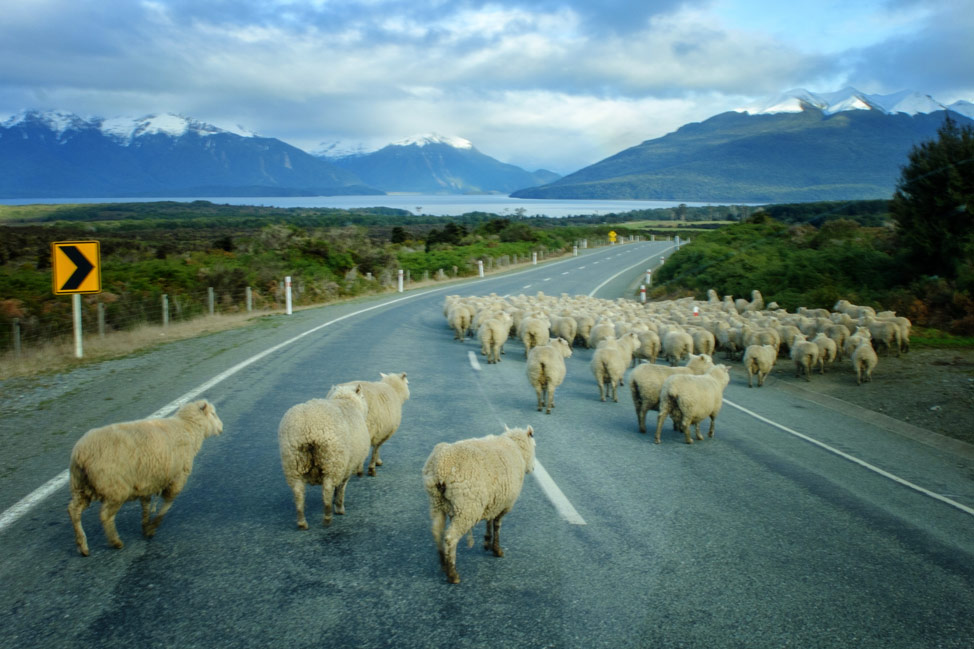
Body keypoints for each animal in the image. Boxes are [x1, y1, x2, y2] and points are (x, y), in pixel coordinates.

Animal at [67, 398, 224, 556]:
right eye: (213, 413)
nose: (222, 427)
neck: (188, 428)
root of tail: (80, 454)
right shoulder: (177, 478)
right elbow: (167, 504)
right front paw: (152, 527)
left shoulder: (147, 481)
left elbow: (146, 505)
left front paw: (145, 525)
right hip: (115, 488)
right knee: (105, 516)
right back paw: (115, 542)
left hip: (81, 486)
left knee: (74, 510)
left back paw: (82, 545)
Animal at [282, 384, 374, 528]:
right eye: (363, 396)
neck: (346, 401)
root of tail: (308, 428)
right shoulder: (346, 466)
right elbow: (341, 488)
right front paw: (339, 506)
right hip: (332, 461)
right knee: (327, 489)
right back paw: (327, 517)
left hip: (293, 463)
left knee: (298, 492)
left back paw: (302, 522)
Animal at [424, 426, 536, 584]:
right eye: (534, 445)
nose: (533, 468)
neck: (516, 448)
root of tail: (441, 469)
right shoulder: (504, 504)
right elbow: (497, 525)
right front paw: (496, 549)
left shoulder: (494, 499)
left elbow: (489, 520)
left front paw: (487, 541)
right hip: (467, 508)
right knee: (451, 538)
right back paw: (452, 573)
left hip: (436, 502)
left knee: (436, 531)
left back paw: (443, 563)